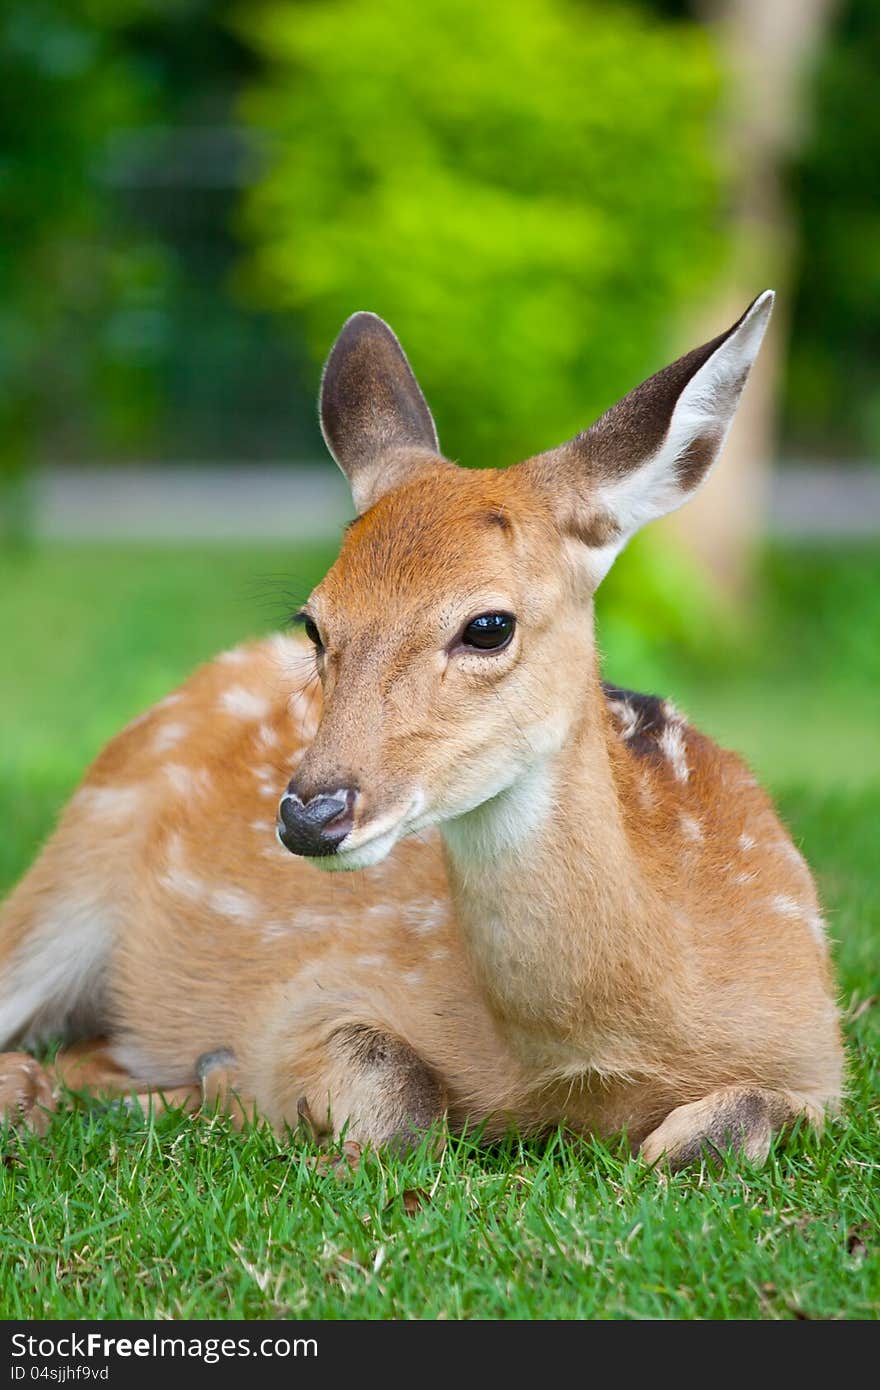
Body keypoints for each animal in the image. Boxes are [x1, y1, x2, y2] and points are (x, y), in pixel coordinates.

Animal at [0, 293, 839, 1162]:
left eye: (489, 625)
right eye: (314, 622)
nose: (310, 815)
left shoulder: (821, 1060)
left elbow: (721, 1132)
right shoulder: (307, 994)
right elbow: (399, 1100)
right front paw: (233, 1082)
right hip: (66, 874)